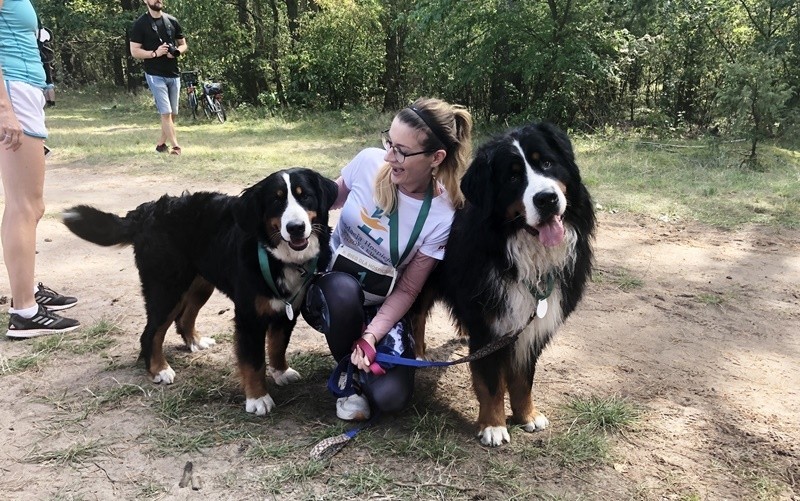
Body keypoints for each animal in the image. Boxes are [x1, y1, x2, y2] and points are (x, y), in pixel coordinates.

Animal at [62, 168, 336, 414]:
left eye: (304, 196)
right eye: (276, 201)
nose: (295, 227)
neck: (276, 257)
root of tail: (147, 211)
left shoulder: (289, 308)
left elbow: (278, 345)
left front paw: (281, 372)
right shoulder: (248, 316)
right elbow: (253, 361)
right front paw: (258, 398)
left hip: (199, 284)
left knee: (184, 318)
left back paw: (195, 341)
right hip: (166, 289)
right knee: (151, 333)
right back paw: (159, 369)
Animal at [412, 121, 592, 446]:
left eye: (547, 163)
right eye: (512, 177)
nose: (546, 199)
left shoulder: (529, 327)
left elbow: (523, 378)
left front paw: (527, 416)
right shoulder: (489, 325)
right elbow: (491, 381)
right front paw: (493, 425)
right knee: (416, 316)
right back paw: (418, 355)